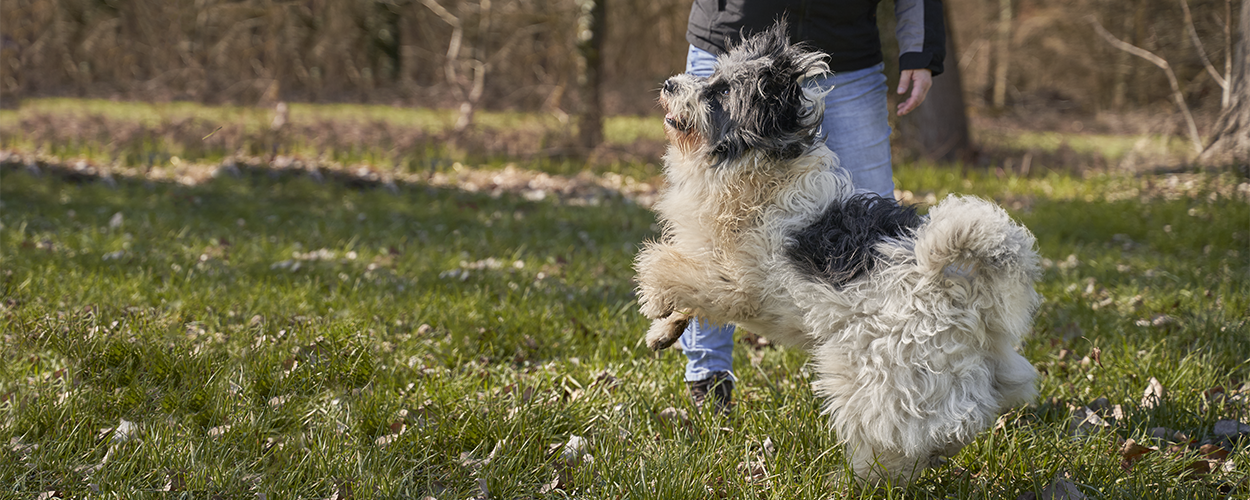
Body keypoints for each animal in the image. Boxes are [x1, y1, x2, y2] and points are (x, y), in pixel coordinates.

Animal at [640, 23, 1040, 485]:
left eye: (721, 92)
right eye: (711, 77)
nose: (669, 84)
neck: (759, 170)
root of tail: (959, 296)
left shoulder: (739, 285)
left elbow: (672, 268)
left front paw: (653, 294)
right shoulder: (712, 260)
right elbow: (689, 287)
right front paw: (663, 330)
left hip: (868, 373)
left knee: (901, 436)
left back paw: (856, 480)